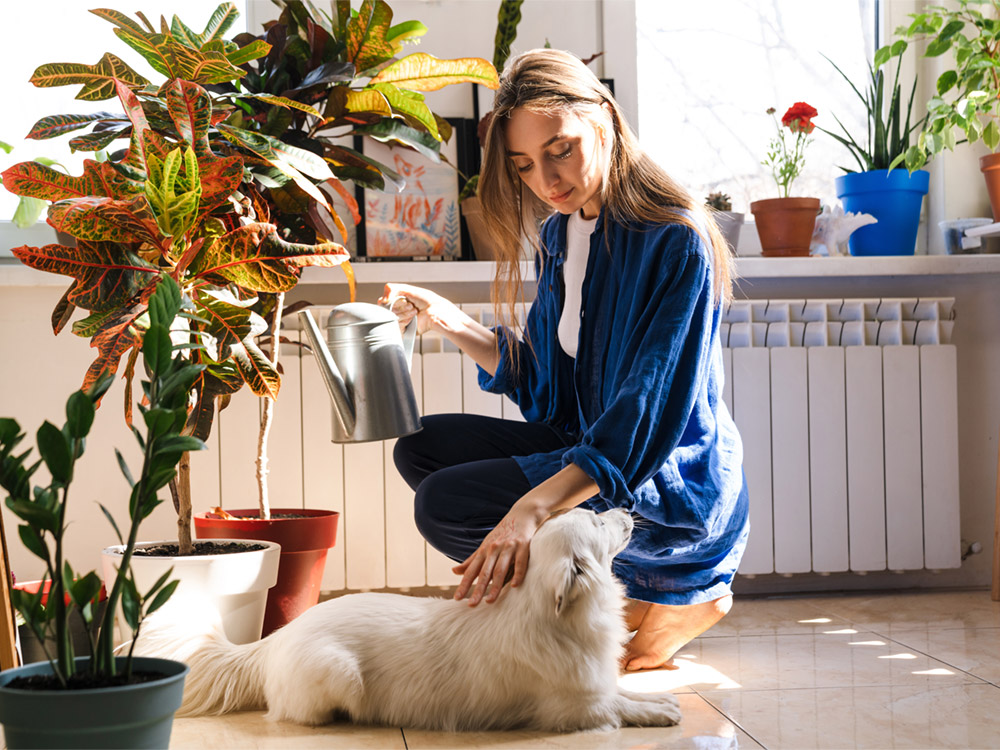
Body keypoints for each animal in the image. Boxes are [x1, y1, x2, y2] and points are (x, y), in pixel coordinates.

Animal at [139, 508, 680, 732]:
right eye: (596, 520)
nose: (628, 504)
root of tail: (272, 642)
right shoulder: (573, 710)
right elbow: (618, 706)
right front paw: (661, 711)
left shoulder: (593, 687)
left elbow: (623, 692)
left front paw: (658, 698)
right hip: (337, 672)